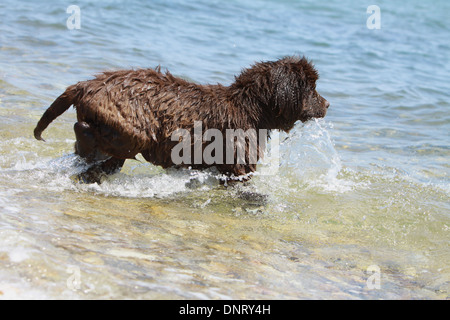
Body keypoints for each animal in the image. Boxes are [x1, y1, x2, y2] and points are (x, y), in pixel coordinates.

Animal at [33, 56, 328, 184]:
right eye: (312, 89)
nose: (327, 104)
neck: (250, 108)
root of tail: (87, 85)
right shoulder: (238, 160)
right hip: (132, 128)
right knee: (84, 130)